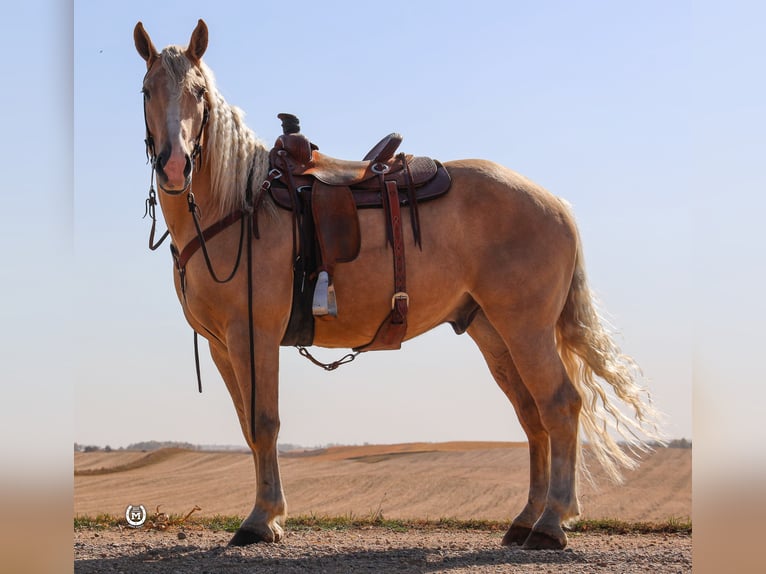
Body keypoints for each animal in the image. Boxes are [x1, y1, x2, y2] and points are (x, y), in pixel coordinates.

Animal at [133, 19, 661, 550]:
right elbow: (247, 426)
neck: (238, 205)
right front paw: (270, 515)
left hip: (525, 329)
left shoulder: (253, 333)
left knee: (559, 405)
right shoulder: (223, 345)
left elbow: (264, 423)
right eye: (147, 90)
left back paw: (552, 523)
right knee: (532, 416)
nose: (175, 165)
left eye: (199, 92)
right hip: (493, 332)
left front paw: (262, 519)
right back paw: (525, 519)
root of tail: (555, 203)